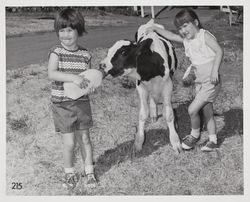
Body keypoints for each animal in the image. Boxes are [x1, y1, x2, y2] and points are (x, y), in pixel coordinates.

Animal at [99, 20, 182, 153]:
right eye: (109, 50)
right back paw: (153, 114)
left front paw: (175, 142)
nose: (101, 65)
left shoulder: (168, 85)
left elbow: (169, 114)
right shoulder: (141, 86)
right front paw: (139, 141)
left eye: (123, 52)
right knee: (152, 98)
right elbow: (143, 114)